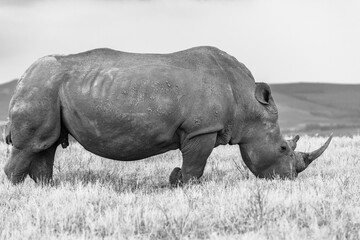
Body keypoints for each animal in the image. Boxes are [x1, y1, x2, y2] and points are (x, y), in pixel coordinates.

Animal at [4, 46, 334, 184]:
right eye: (283, 148)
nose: (290, 178)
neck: (246, 103)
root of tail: (23, 74)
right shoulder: (202, 129)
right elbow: (195, 166)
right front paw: (185, 186)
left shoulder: (200, 129)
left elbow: (191, 165)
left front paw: (174, 181)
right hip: (42, 86)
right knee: (32, 144)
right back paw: (18, 190)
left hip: (48, 89)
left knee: (46, 144)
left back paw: (48, 189)